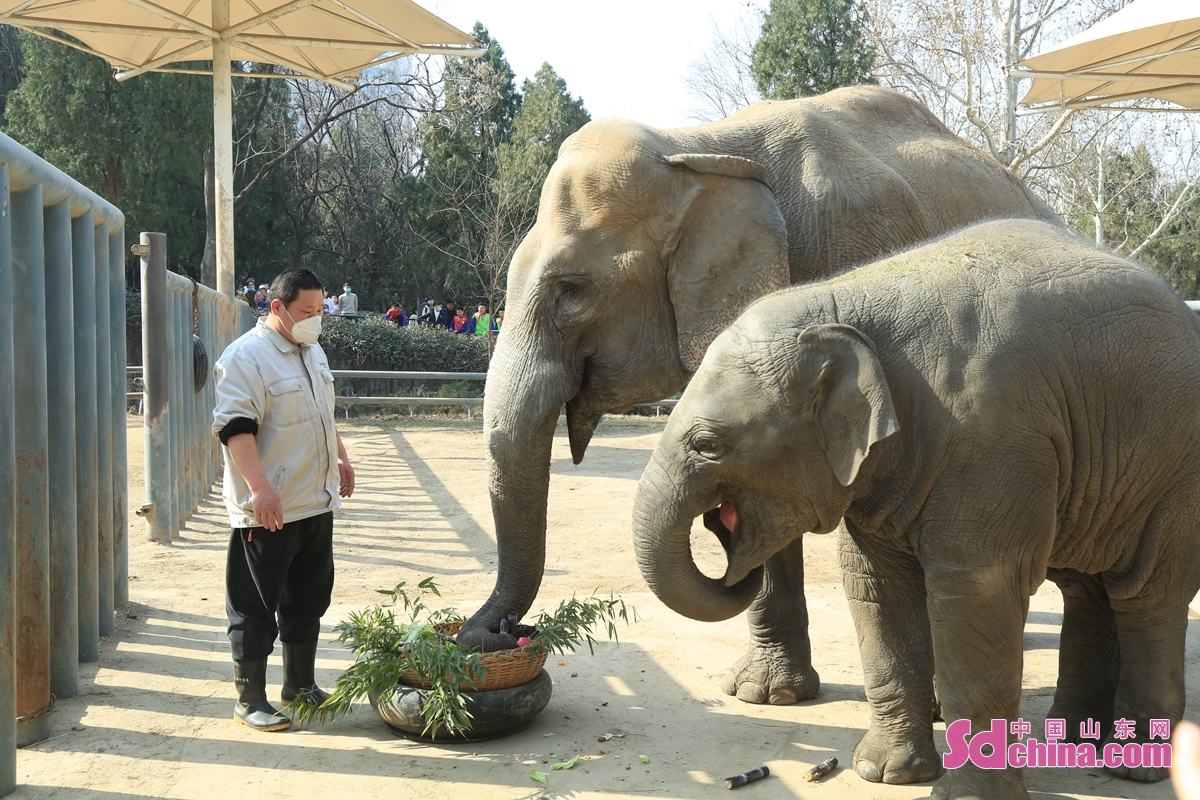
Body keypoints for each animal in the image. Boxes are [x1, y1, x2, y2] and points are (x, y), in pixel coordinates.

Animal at [633, 215, 1200, 796]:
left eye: (709, 445)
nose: (725, 542)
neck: (842, 301)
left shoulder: (991, 442)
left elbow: (975, 590)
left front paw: (963, 794)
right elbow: (878, 587)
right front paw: (885, 773)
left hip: (1175, 477)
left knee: (1147, 595)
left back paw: (1131, 766)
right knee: (1087, 589)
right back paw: (1069, 740)